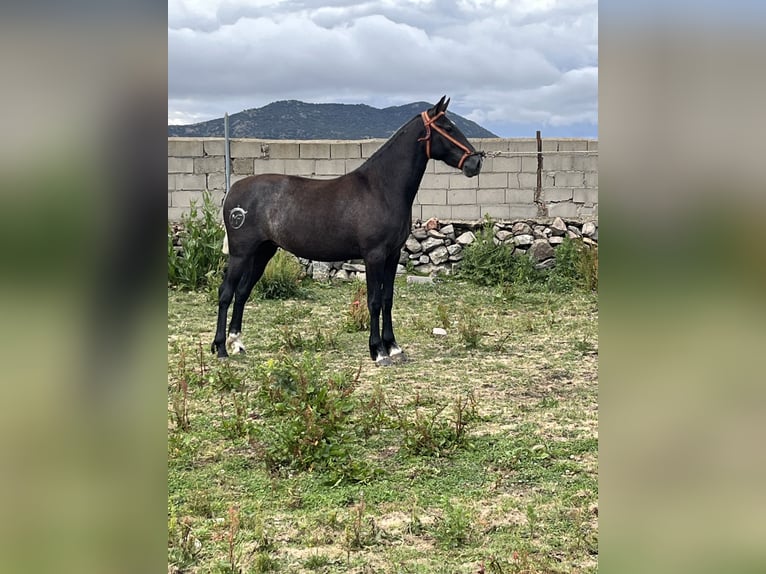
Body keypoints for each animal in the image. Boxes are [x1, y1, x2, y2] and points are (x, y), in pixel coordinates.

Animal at [213, 94, 484, 364]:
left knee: (242, 292)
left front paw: (394, 347)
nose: (475, 162)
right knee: (226, 292)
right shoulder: (374, 255)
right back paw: (220, 348)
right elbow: (374, 301)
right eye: (448, 127)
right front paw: (378, 351)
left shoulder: (392, 255)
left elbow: (388, 299)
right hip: (240, 253)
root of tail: (233, 192)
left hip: (262, 251)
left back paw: (237, 343)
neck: (381, 188)